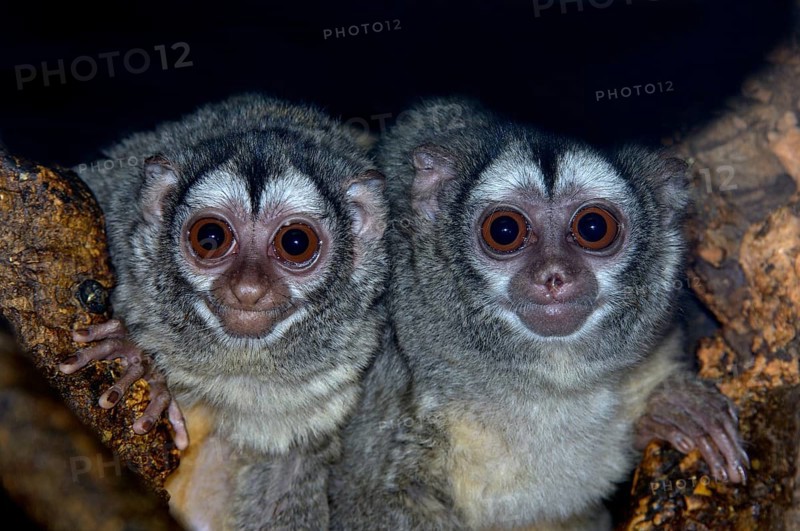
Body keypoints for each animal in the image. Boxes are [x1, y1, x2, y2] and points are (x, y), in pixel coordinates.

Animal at [59, 94, 389, 530]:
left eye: (295, 243)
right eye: (210, 237)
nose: (247, 289)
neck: (235, 362)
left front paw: (135, 364)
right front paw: (133, 361)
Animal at [329, 98, 749, 530]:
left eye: (594, 227)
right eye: (504, 230)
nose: (553, 276)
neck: (550, 384)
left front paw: (677, 410)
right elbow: (374, 496)